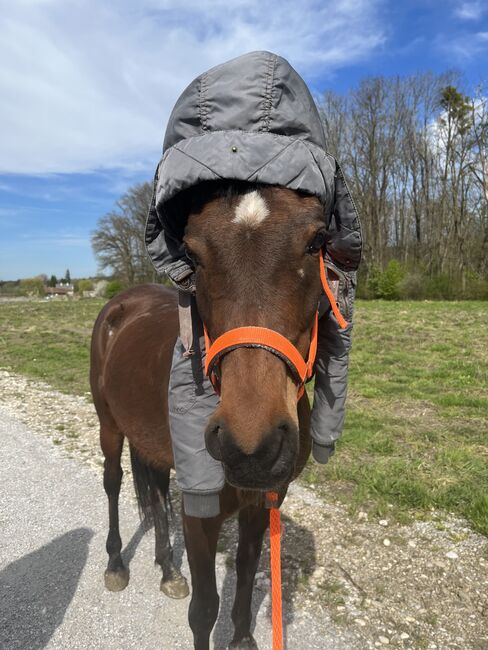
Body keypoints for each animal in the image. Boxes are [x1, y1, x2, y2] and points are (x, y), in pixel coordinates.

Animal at [89, 181, 326, 648]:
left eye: (314, 243)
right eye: (194, 256)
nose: (252, 446)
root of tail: (121, 303)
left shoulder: (261, 502)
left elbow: (247, 574)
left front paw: (242, 637)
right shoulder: (200, 515)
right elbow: (204, 611)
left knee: (157, 493)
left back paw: (168, 570)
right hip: (109, 426)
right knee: (113, 482)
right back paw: (115, 564)